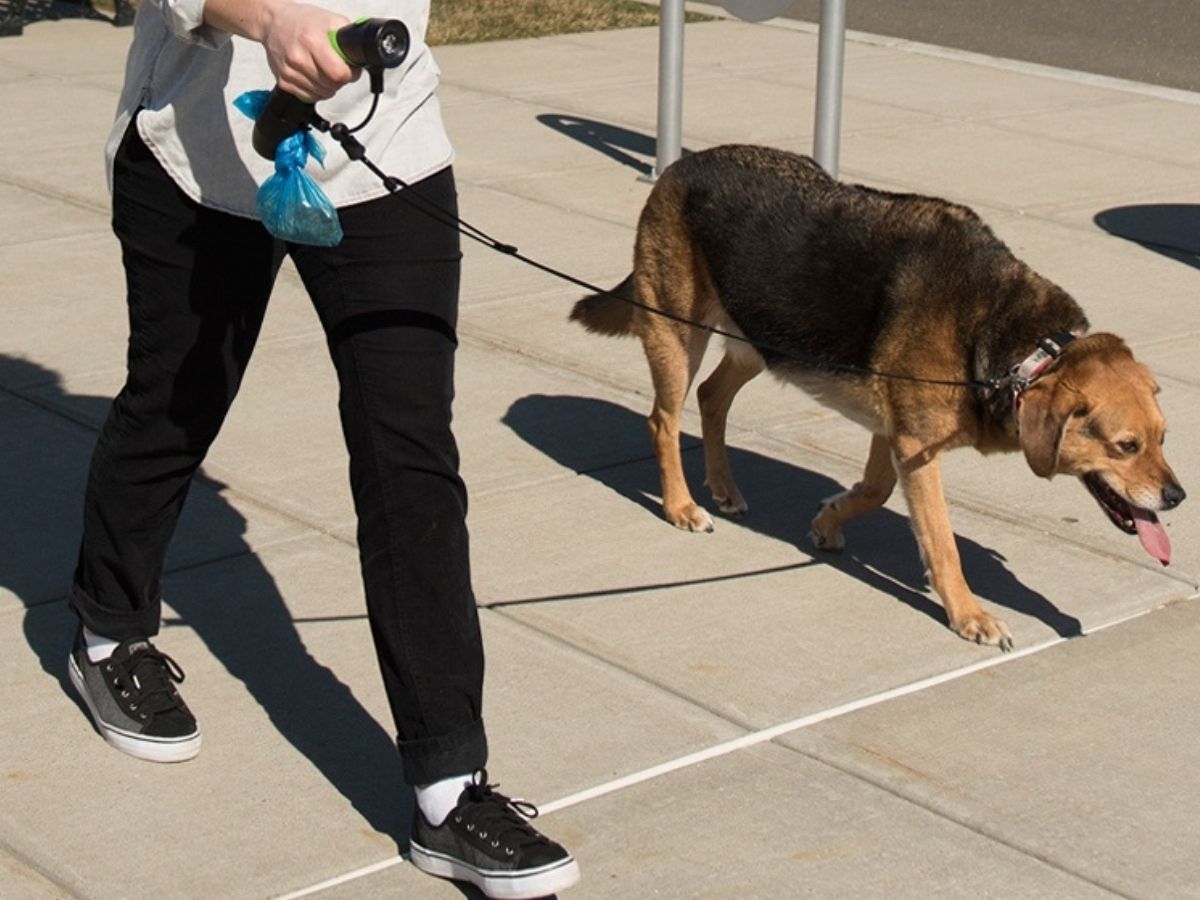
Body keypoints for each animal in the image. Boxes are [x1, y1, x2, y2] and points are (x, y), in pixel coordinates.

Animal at [576, 144, 1185, 652]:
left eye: (1163, 438)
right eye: (1126, 446)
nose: (1177, 497)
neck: (1013, 348)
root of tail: (684, 163)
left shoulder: (893, 434)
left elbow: (874, 489)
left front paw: (828, 521)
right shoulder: (915, 445)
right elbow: (941, 542)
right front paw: (968, 615)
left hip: (758, 341)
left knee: (711, 398)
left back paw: (724, 488)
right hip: (678, 334)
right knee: (664, 419)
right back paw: (681, 506)